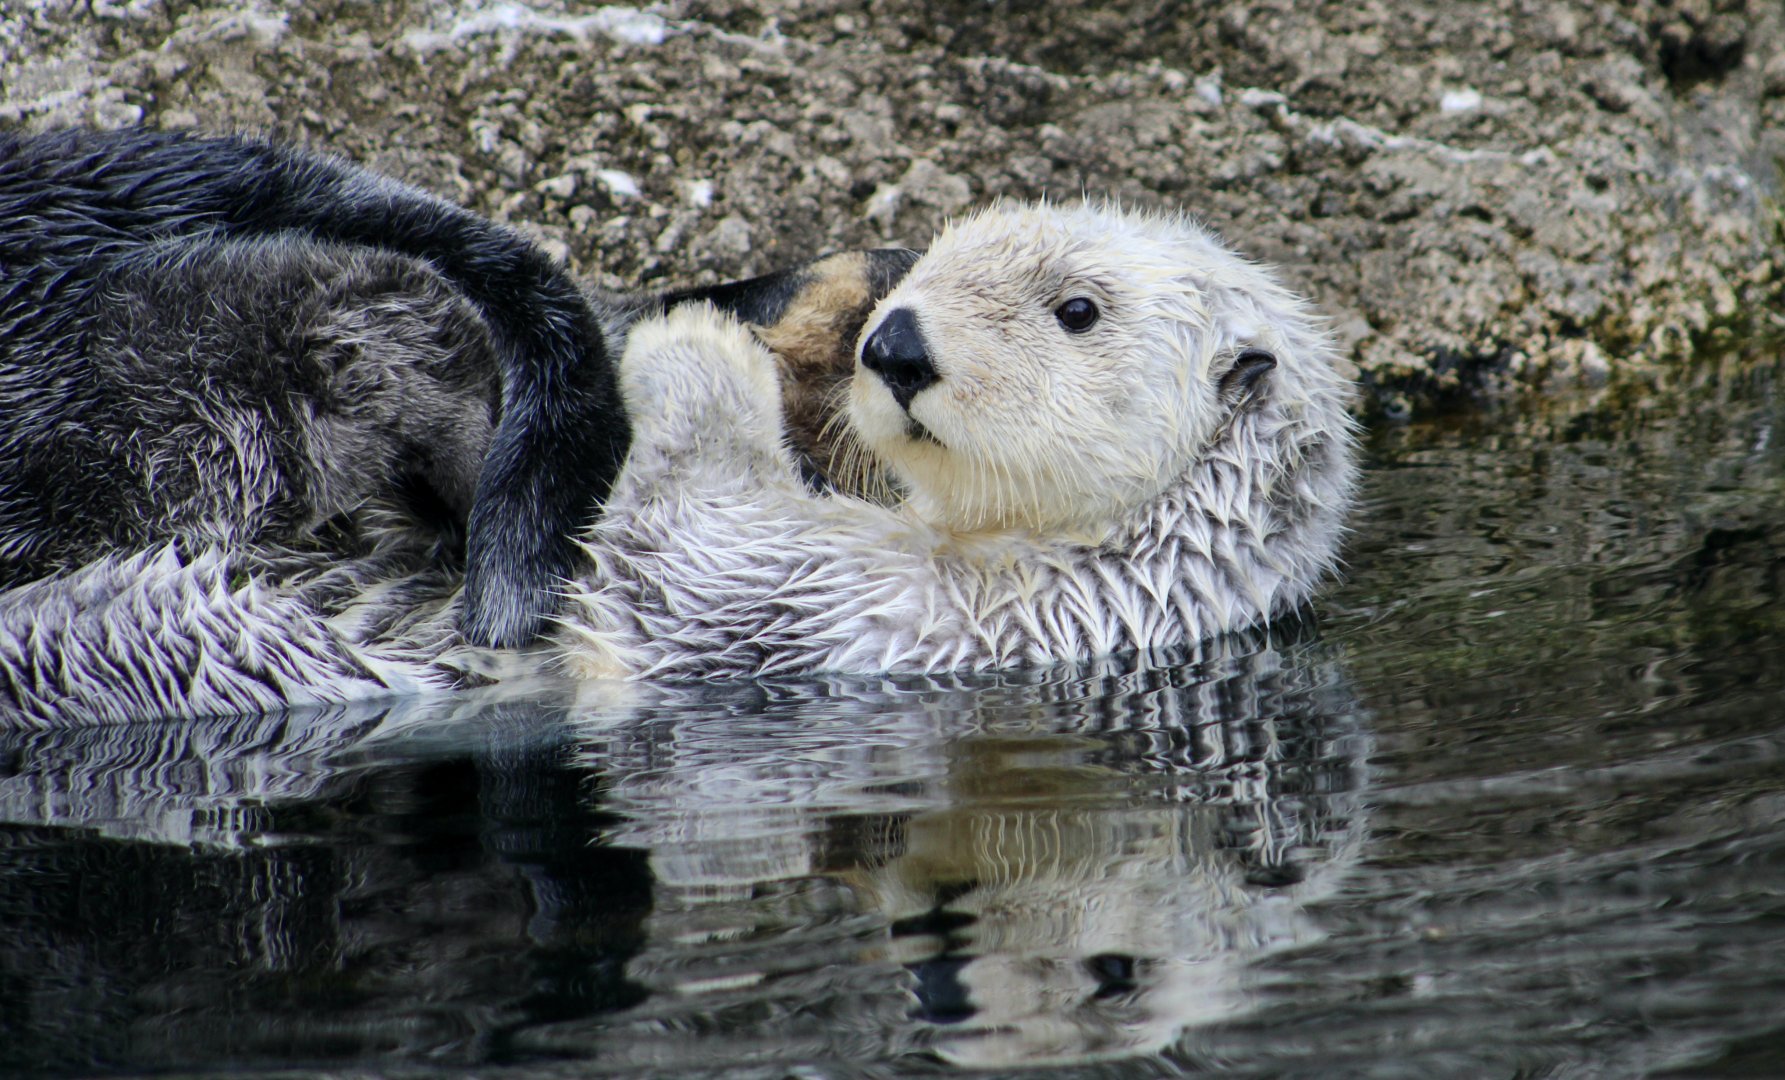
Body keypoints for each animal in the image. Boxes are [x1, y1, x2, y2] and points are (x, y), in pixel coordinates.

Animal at [561, 201, 1358, 678]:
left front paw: (694, 338)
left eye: (1077, 310)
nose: (895, 346)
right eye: (925, 272)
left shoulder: (866, 605)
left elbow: (684, 541)